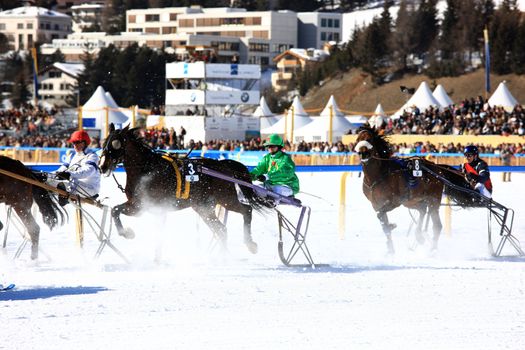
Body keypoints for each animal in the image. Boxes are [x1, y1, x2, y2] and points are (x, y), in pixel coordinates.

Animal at [99, 123, 270, 254]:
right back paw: (223, 256)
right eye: (105, 142)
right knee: (221, 230)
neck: (147, 169)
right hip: (203, 207)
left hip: (226, 199)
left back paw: (250, 244)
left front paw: (127, 233)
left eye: (115, 143)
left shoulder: (141, 206)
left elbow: (116, 211)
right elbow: (115, 211)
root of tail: (224, 165)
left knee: (247, 210)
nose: (102, 166)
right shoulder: (139, 205)